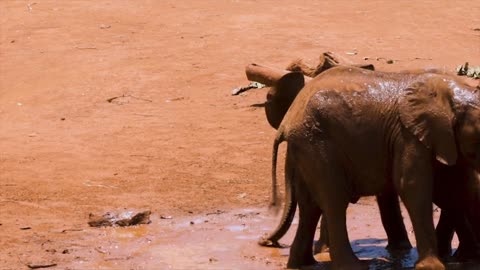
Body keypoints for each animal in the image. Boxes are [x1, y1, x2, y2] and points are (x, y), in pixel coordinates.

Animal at [266, 66, 480, 270]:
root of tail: (287, 120)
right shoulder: (408, 135)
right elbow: (412, 186)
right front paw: (432, 267)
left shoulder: (443, 140)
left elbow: (455, 190)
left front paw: (467, 259)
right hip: (316, 144)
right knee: (334, 200)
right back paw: (354, 266)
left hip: (305, 148)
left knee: (310, 206)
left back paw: (303, 264)